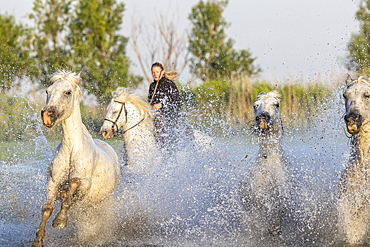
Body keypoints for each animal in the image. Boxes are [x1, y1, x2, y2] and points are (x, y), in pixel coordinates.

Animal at [32, 70, 119, 247]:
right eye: (47, 91)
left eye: (67, 92)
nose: (47, 115)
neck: (72, 150)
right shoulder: (53, 184)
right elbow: (47, 208)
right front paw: (39, 238)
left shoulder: (84, 185)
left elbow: (72, 187)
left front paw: (60, 221)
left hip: (103, 200)